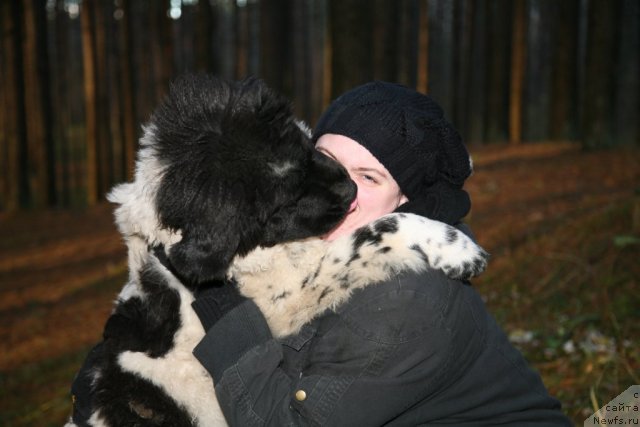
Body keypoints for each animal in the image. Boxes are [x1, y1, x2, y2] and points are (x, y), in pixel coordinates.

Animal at [67, 76, 488, 427]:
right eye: (283, 201)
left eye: (308, 151)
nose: (351, 190)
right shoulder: (286, 297)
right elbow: (376, 231)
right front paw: (456, 248)